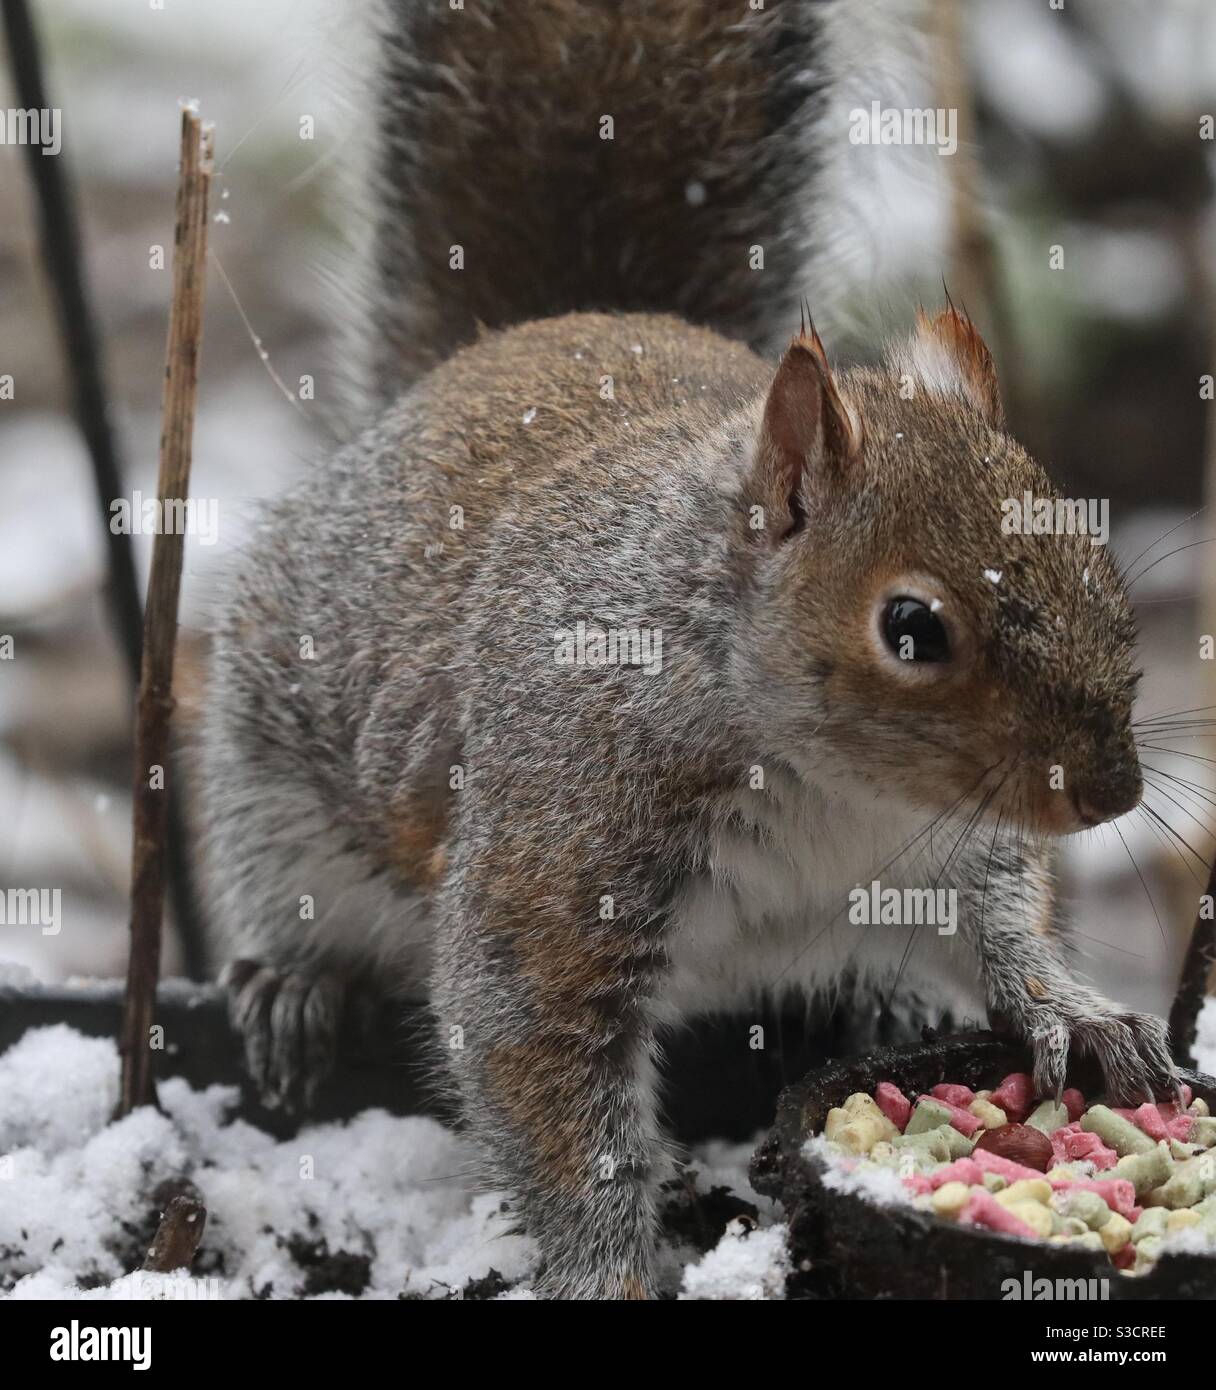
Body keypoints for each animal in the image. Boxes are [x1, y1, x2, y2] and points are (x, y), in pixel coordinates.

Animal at [200, 0, 1179, 1298]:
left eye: (1094, 558)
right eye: (911, 627)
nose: (1109, 792)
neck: (837, 793)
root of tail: (501, 344)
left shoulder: (956, 855)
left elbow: (1002, 922)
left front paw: (1070, 1008)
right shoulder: (558, 853)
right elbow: (538, 1068)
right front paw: (611, 1269)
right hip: (270, 782)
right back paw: (295, 985)